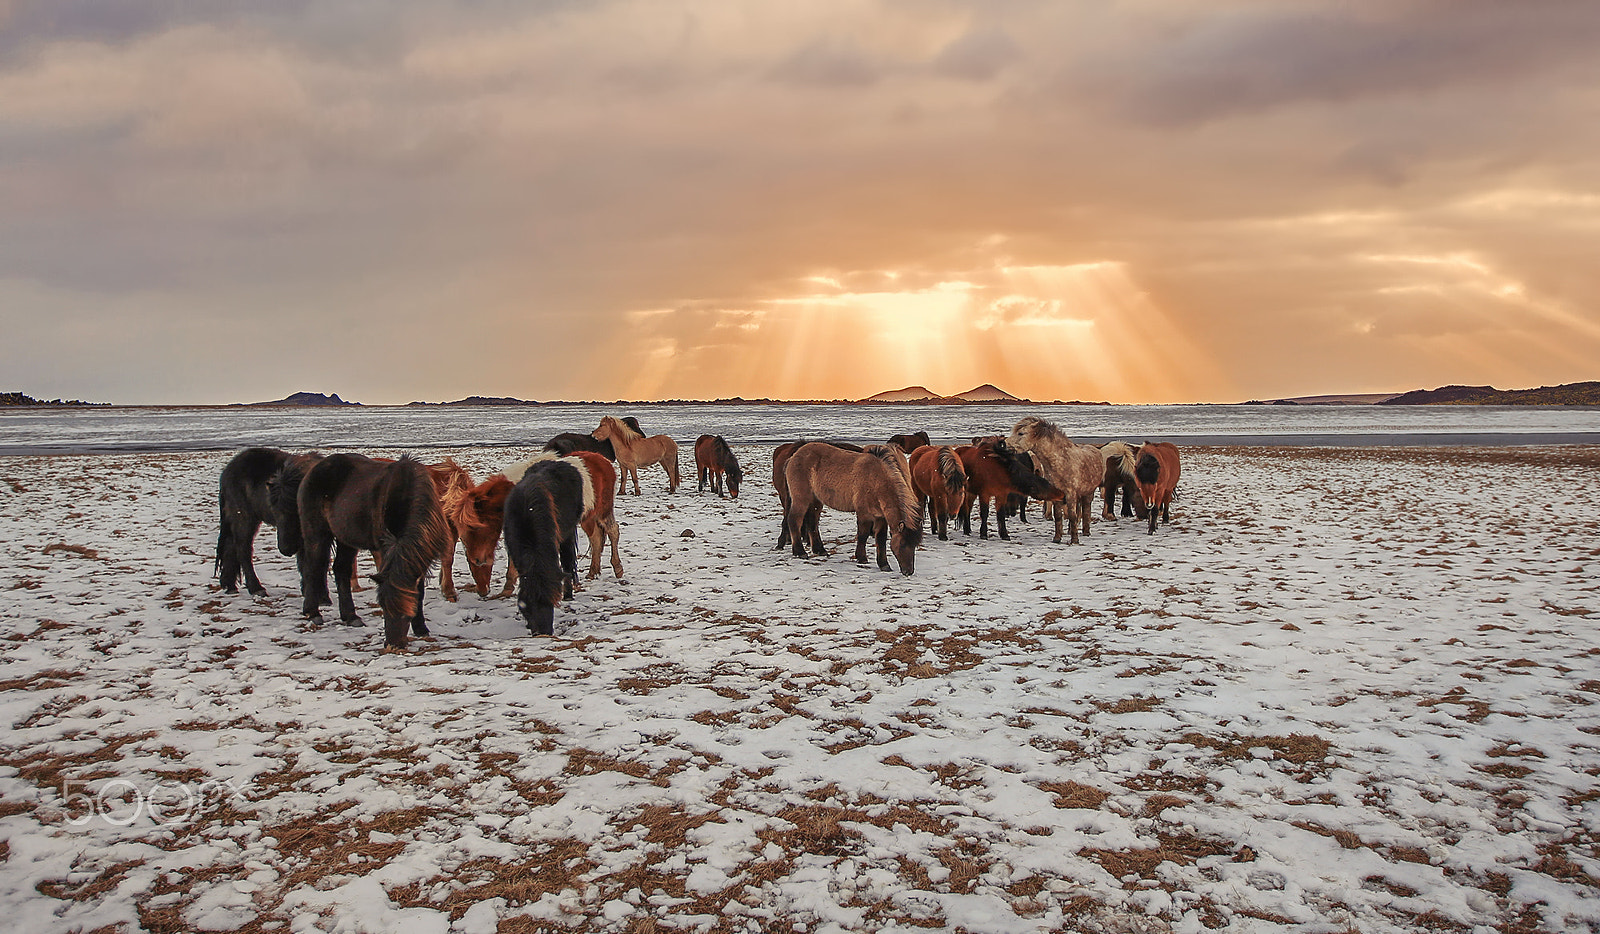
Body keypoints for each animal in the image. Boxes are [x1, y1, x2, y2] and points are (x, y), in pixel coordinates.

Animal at [216, 447, 321, 594]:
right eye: (274, 510)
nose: (286, 549)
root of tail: (226, 472)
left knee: (230, 545)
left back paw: (230, 586)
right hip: (244, 518)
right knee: (243, 549)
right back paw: (256, 588)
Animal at [294, 454, 451, 649]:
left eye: (406, 610)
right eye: (383, 606)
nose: (393, 645)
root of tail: (313, 469)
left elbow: (419, 592)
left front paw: (421, 628)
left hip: (346, 538)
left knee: (340, 570)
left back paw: (350, 616)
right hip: (316, 532)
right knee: (312, 568)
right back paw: (313, 612)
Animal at [502, 457, 585, 633]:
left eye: (551, 601)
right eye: (528, 605)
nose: (545, 633)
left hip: (568, 532)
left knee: (568, 562)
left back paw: (569, 595)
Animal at [780, 441, 921, 572]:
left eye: (914, 545)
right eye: (902, 544)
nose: (908, 572)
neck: (876, 480)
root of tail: (793, 457)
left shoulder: (880, 517)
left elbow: (880, 539)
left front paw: (884, 565)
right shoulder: (863, 513)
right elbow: (863, 535)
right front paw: (862, 558)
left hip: (816, 501)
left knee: (812, 523)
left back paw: (820, 550)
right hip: (801, 499)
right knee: (794, 520)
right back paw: (800, 552)